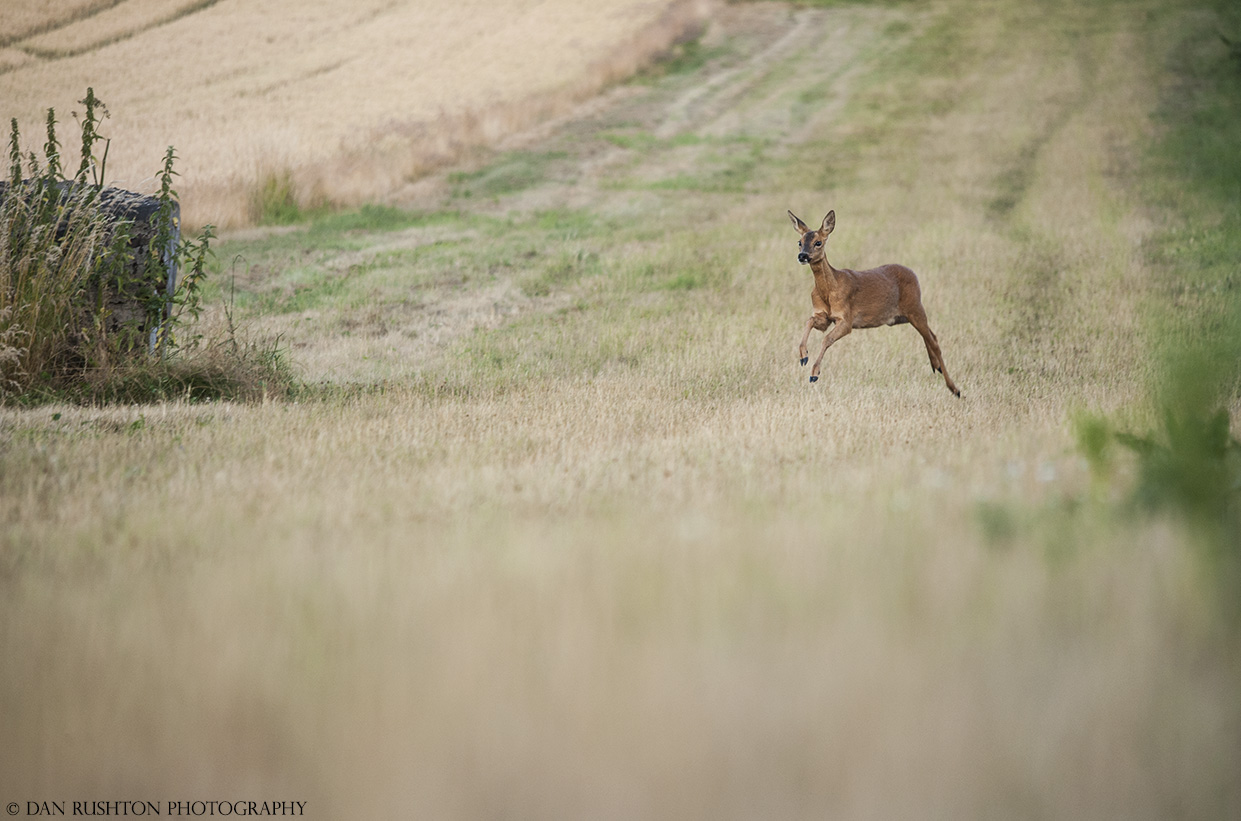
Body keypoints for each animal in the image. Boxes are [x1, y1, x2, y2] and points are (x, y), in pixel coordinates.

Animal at [789, 207, 963, 396]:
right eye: (799, 242)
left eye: (818, 242)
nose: (802, 256)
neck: (829, 290)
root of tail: (914, 274)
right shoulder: (823, 316)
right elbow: (809, 321)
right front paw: (803, 356)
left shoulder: (846, 319)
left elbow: (826, 339)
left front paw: (814, 373)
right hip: (902, 316)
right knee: (930, 335)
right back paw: (936, 366)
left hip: (915, 306)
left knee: (934, 340)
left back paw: (955, 389)